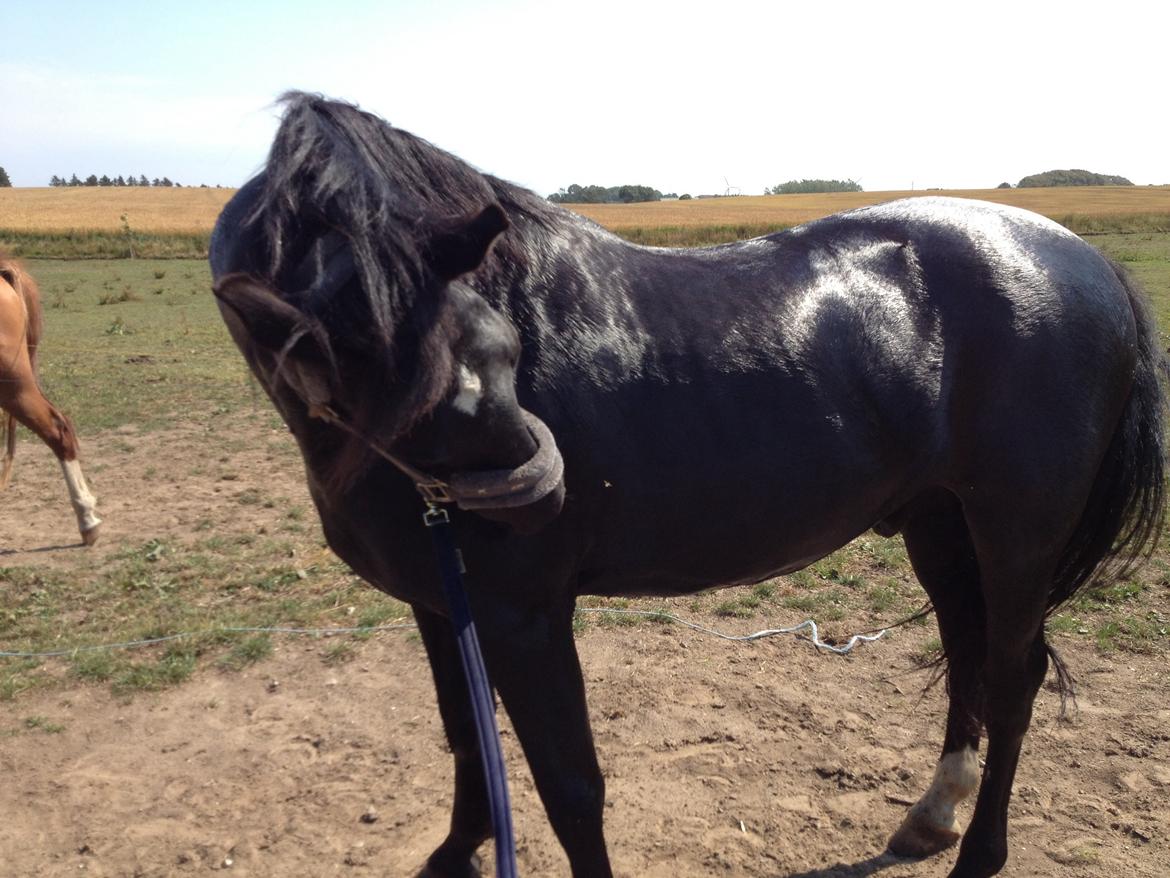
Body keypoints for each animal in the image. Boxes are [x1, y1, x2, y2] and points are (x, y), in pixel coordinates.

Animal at [209, 93, 1165, 878]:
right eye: (375, 381)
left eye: (500, 346)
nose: (544, 497)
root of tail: (1092, 265)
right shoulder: (442, 605)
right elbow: (467, 741)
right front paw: (454, 854)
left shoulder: (523, 614)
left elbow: (569, 784)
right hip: (941, 523)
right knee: (968, 654)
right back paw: (930, 819)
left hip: (1017, 533)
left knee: (1012, 674)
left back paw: (977, 856)